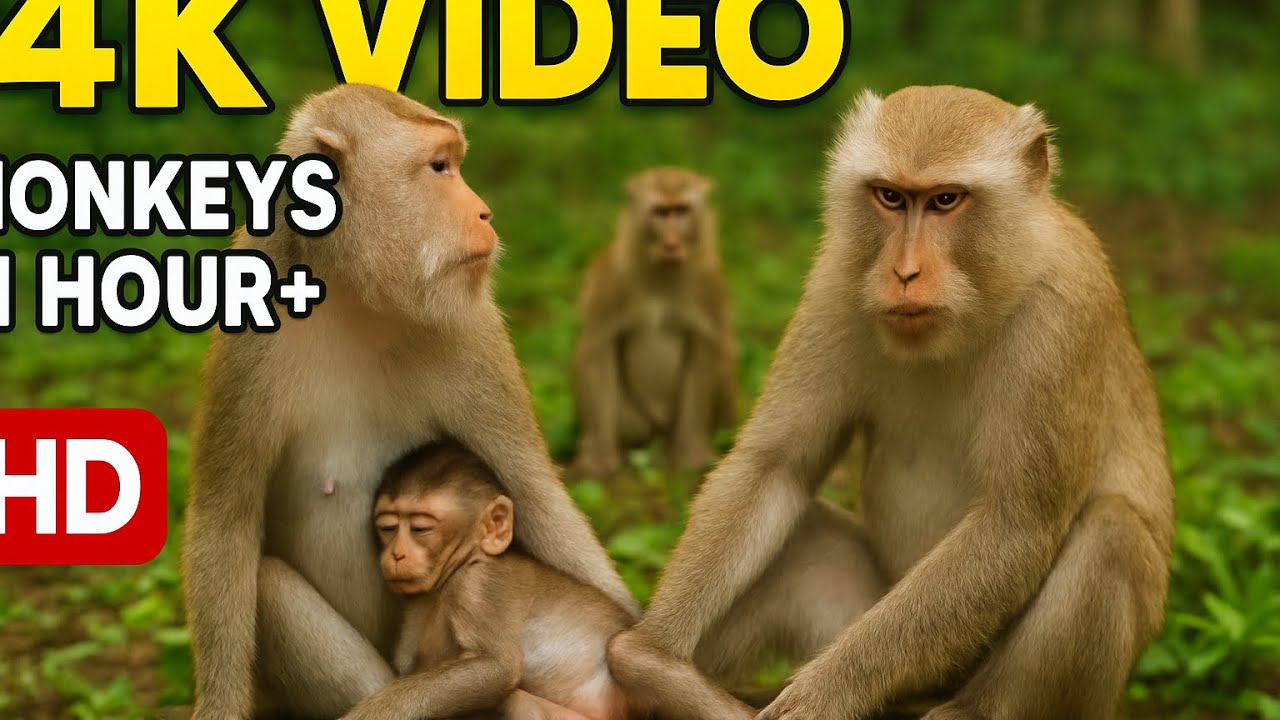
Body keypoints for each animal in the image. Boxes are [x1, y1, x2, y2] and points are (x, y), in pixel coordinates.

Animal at [182, 84, 637, 720]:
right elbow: (226, 522)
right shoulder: (247, 329)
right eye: (438, 167)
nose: (484, 213)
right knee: (267, 583)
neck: (350, 290)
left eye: (454, 162)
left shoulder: (473, 326)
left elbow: (533, 494)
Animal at [342, 440, 755, 720]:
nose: (396, 554)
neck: (458, 570)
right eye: (387, 527)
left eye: (421, 528)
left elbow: (494, 668)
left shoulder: (482, 586)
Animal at [569, 167, 738, 479]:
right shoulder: (612, 274)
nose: (672, 241)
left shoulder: (710, 282)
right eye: (660, 212)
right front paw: (598, 459)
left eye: (682, 211)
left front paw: (692, 457)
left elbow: (705, 350)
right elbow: (598, 348)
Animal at [608, 86, 1174, 720]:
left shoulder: (1065, 307)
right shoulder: (838, 276)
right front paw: (650, 656)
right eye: (891, 197)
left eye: (946, 200)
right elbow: (775, 465)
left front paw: (818, 699)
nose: (903, 272)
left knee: (1112, 533)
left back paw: (970, 712)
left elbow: (1016, 525)